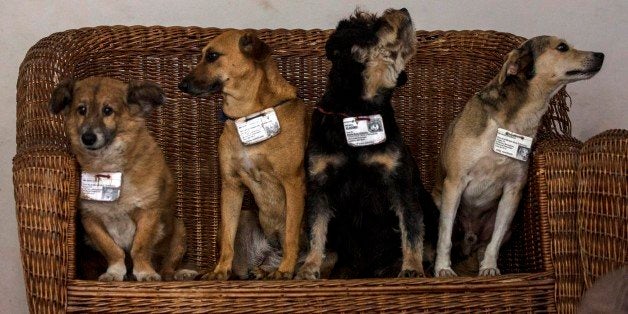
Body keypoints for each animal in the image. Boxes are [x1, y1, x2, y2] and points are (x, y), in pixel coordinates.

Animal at [50, 76, 195, 282]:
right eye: (81, 109)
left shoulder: (148, 213)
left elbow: (139, 248)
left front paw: (144, 272)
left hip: (179, 230)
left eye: (108, 110)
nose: (88, 138)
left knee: (167, 269)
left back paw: (181, 274)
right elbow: (112, 249)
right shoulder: (90, 219)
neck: (109, 168)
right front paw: (115, 271)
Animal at [179, 29, 310, 280]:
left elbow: (291, 234)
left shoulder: (293, 182)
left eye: (212, 55)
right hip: (244, 217)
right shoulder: (231, 185)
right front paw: (220, 270)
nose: (181, 85)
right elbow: (228, 241)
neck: (247, 115)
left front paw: (286, 270)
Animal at [296, 7, 436, 278]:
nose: (404, 10)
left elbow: (412, 229)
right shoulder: (319, 184)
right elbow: (316, 230)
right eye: (372, 25)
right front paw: (310, 266)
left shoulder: (401, 183)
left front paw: (412, 268)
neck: (356, 110)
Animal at [432, 37, 604, 278]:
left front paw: (490, 267)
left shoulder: (513, 191)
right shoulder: (454, 183)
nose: (601, 55)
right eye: (562, 47)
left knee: (484, 245)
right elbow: (444, 236)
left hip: (507, 227)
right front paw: (443, 269)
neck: (512, 123)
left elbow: (494, 241)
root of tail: (470, 239)